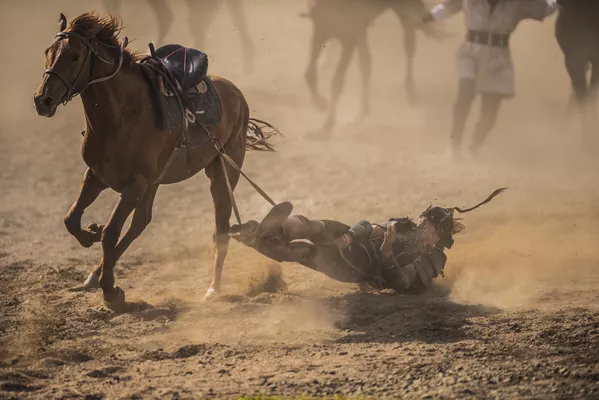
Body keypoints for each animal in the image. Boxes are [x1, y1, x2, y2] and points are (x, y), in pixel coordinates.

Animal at [33, 13, 276, 311]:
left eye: (75, 55)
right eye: (48, 52)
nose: (42, 100)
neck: (122, 116)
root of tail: (237, 94)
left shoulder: (135, 185)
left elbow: (111, 233)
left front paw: (111, 290)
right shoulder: (98, 175)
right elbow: (72, 219)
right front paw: (91, 235)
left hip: (222, 172)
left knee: (220, 227)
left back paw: (213, 288)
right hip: (156, 181)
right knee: (141, 222)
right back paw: (95, 272)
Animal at [303, 0, 445, 134]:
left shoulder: (348, 38)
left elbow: (337, 82)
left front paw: (326, 127)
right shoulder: (321, 31)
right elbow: (309, 75)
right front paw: (321, 104)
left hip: (403, 11)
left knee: (409, 44)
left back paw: (411, 95)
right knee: (366, 62)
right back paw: (364, 110)